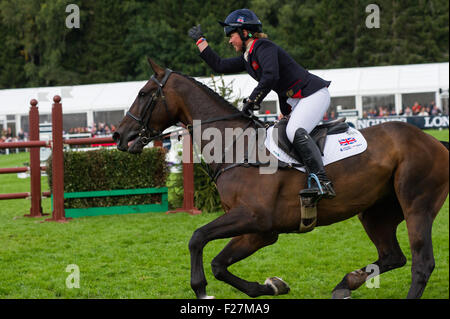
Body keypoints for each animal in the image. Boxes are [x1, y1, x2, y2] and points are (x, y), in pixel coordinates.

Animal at [112, 59, 446, 300]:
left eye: (143, 94)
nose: (119, 136)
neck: (236, 146)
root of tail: (436, 142)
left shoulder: (253, 217)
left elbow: (197, 238)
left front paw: (201, 289)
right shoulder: (260, 231)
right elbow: (219, 264)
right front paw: (272, 285)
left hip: (416, 205)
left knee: (421, 263)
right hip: (376, 212)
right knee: (392, 256)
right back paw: (346, 284)